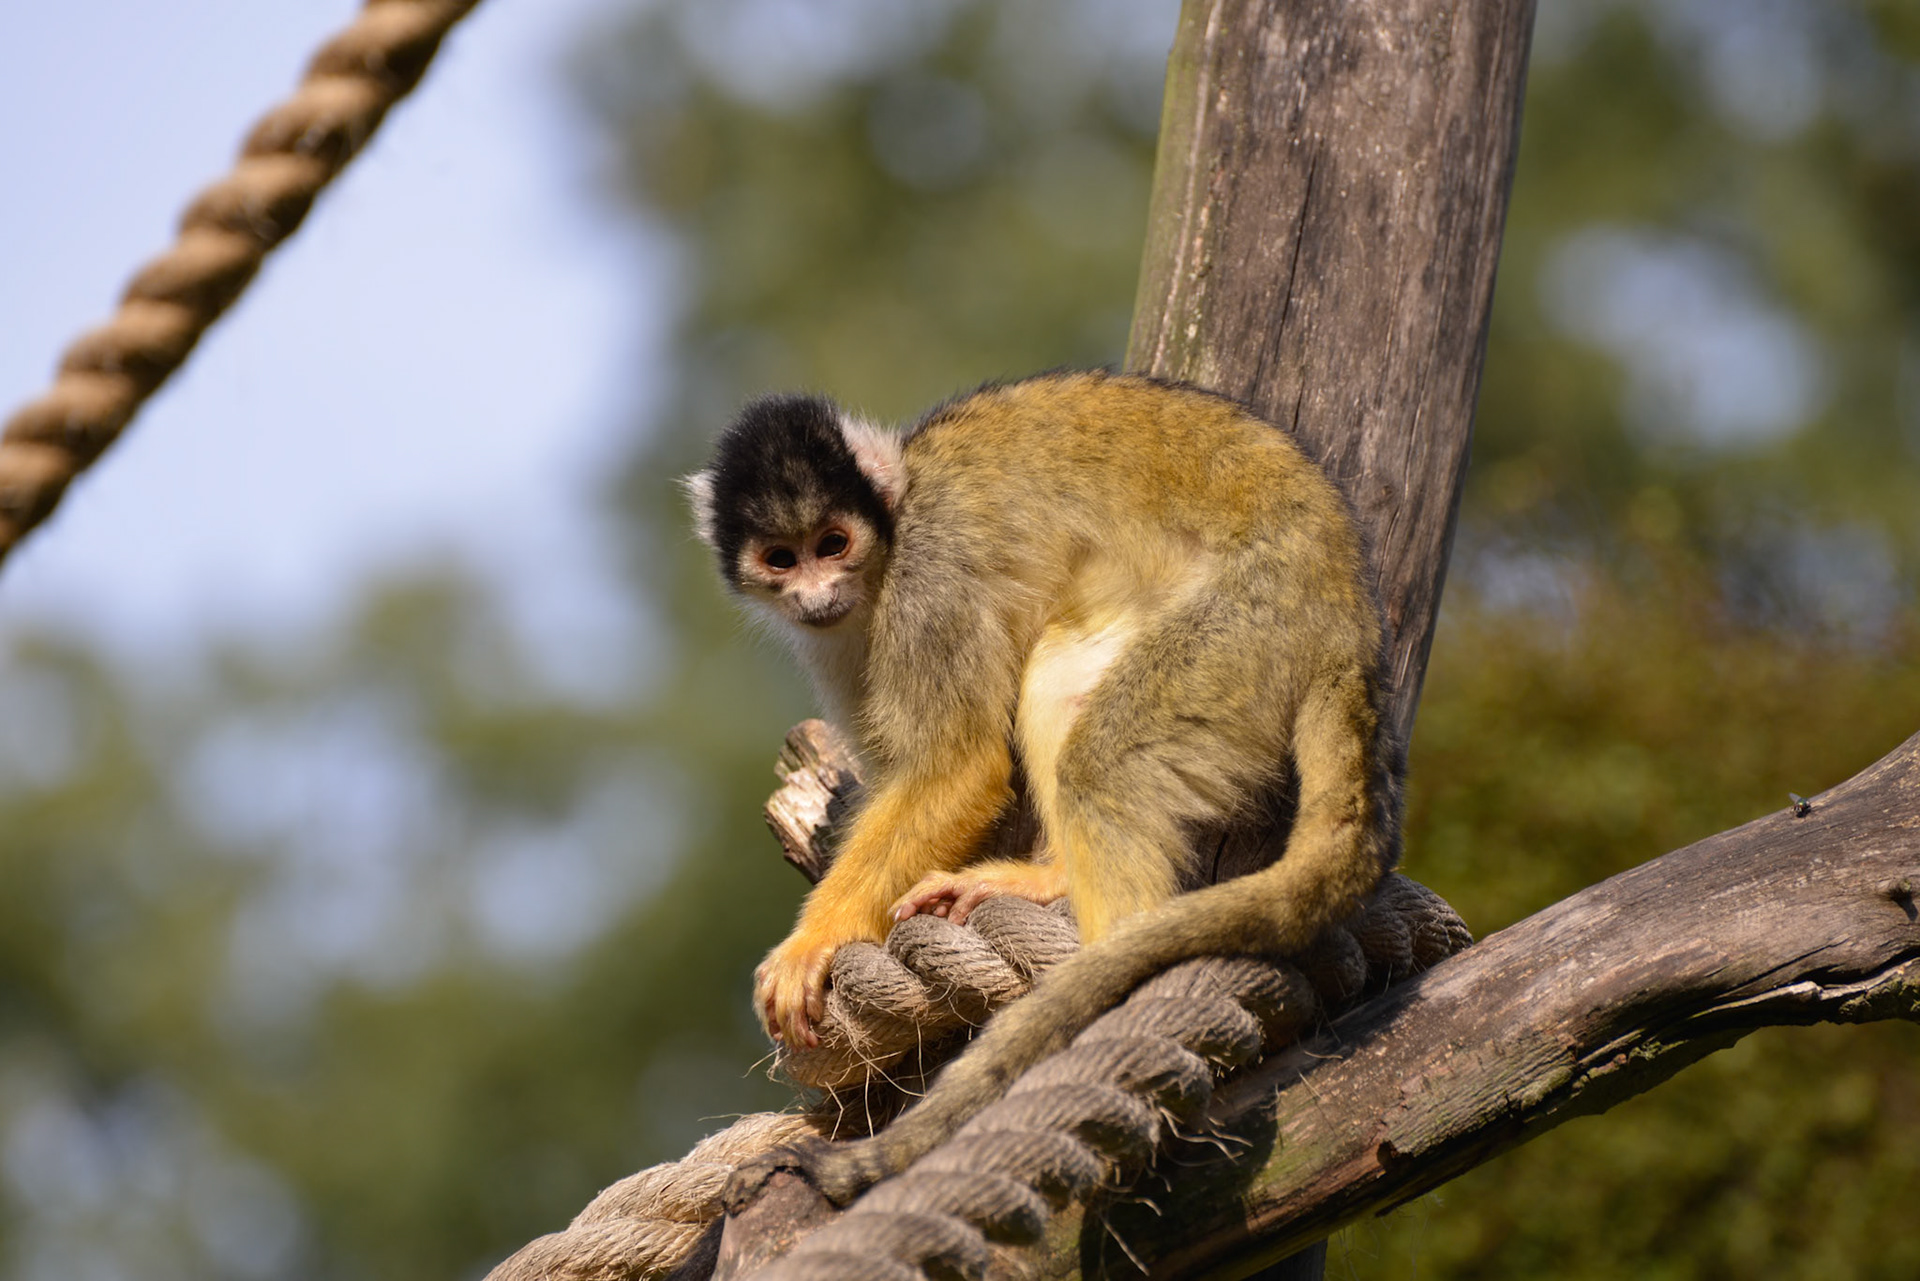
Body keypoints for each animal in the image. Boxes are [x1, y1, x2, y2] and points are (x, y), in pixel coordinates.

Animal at [687, 369, 1401, 1203]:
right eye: (782, 558)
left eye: (833, 543)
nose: (817, 592)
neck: (891, 536)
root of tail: (1347, 607)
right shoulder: (838, 635)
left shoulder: (928, 581)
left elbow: (960, 767)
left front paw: (812, 940)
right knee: (1065, 661)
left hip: (1254, 627)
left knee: (1105, 757)